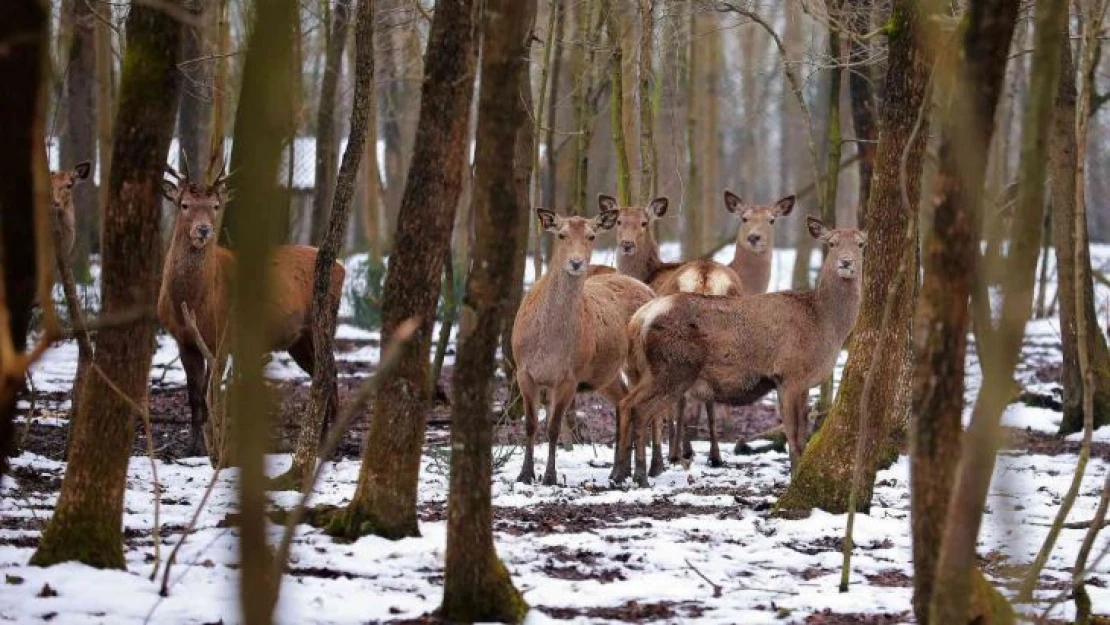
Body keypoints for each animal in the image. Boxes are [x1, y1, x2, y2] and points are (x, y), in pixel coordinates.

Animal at [158, 167, 344, 459]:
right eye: (184, 204)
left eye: (215, 206)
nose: (203, 230)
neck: (192, 304)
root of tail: (341, 267)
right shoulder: (182, 341)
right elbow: (194, 395)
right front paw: (190, 447)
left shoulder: (222, 337)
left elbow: (211, 393)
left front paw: (212, 448)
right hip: (298, 340)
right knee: (322, 374)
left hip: (322, 323)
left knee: (331, 373)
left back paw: (328, 444)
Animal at [512, 207, 657, 486]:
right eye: (561, 234)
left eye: (591, 236)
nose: (576, 263)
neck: (549, 346)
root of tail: (650, 289)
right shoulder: (523, 370)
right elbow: (531, 424)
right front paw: (525, 474)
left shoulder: (570, 376)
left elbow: (553, 427)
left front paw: (550, 476)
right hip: (606, 373)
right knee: (624, 402)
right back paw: (619, 472)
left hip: (640, 361)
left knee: (645, 406)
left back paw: (649, 470)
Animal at [617, 217, 865, 486]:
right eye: (832, 243)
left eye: (861, 244)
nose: (846, 262)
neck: (825, 325)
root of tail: (640, 318)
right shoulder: (789, 374)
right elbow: (794, 435)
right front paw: (795, 477)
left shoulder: (802, 382)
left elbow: (799, 433)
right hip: (674, 367)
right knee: (641, 409)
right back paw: (641, 475)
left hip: (651, 370)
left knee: (626, 403)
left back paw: (619, 474)